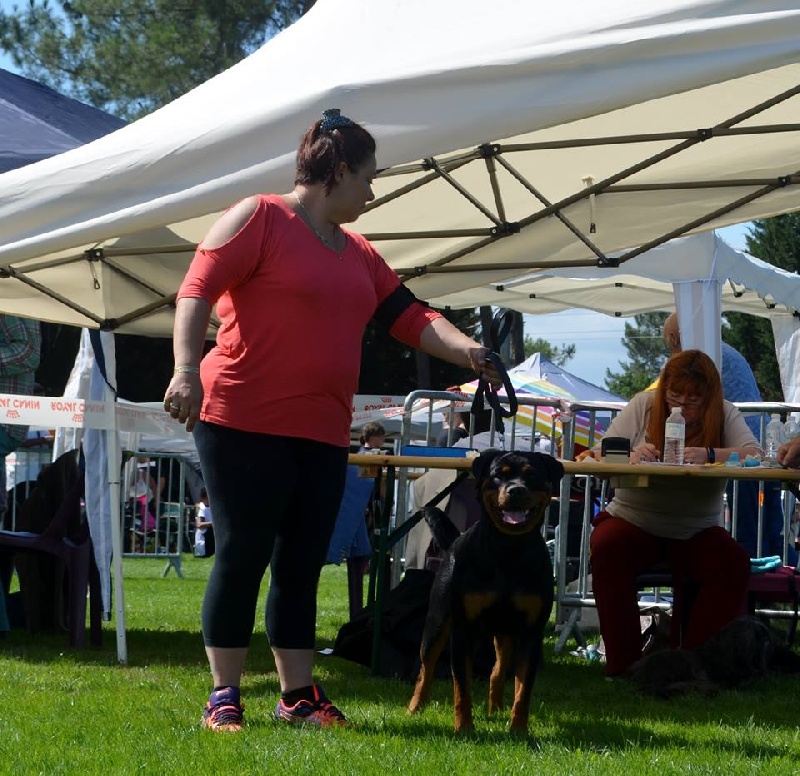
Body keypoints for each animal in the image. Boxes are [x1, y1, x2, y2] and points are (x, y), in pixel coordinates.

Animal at [407, 449, 564, 733]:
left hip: (505, 632)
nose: (516, 490)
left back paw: (496, 709)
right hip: (437, 621)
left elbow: (523, 690)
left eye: (532, 475)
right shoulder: (463, 630)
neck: (509, 550)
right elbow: (462, 686)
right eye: (498, 475)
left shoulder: (531, 631)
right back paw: (415, 708)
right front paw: (464, 728)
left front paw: (519, 730)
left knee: (497, 670)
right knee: (426, 667)